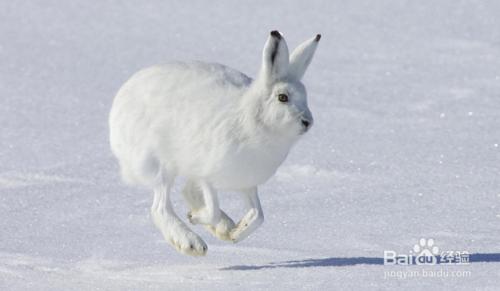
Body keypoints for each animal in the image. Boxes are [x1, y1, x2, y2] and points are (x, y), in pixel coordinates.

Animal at [108, 30, 320, 256]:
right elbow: (213, 210)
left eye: (305, 96)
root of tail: (119, 103)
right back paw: (191, 243)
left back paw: (224, 227)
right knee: (160, 208)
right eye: (282, 97)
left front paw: (235, 233)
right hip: (161, 164)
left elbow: (258, 216)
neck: (253, 120)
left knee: (186, 193)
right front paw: (195, 218)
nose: (308, 122)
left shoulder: (247, 183)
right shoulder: (207, 174)